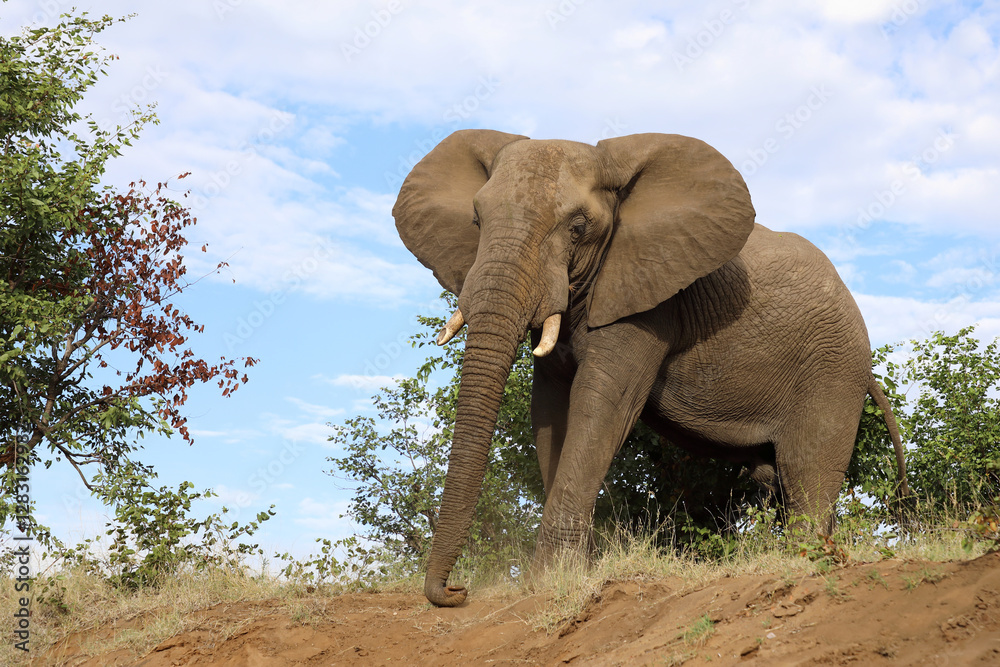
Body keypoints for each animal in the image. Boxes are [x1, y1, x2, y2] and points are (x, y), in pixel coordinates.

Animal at [392, 129, 909, 608]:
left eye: (578, 227)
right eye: (477, 221)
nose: (455, 591)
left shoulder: (648, 303)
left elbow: (600, 410)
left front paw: (547, 580)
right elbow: (550, 414)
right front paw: (571, 573)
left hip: (833, 368)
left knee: (806, 471)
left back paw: (809, 559)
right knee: (774, 477)